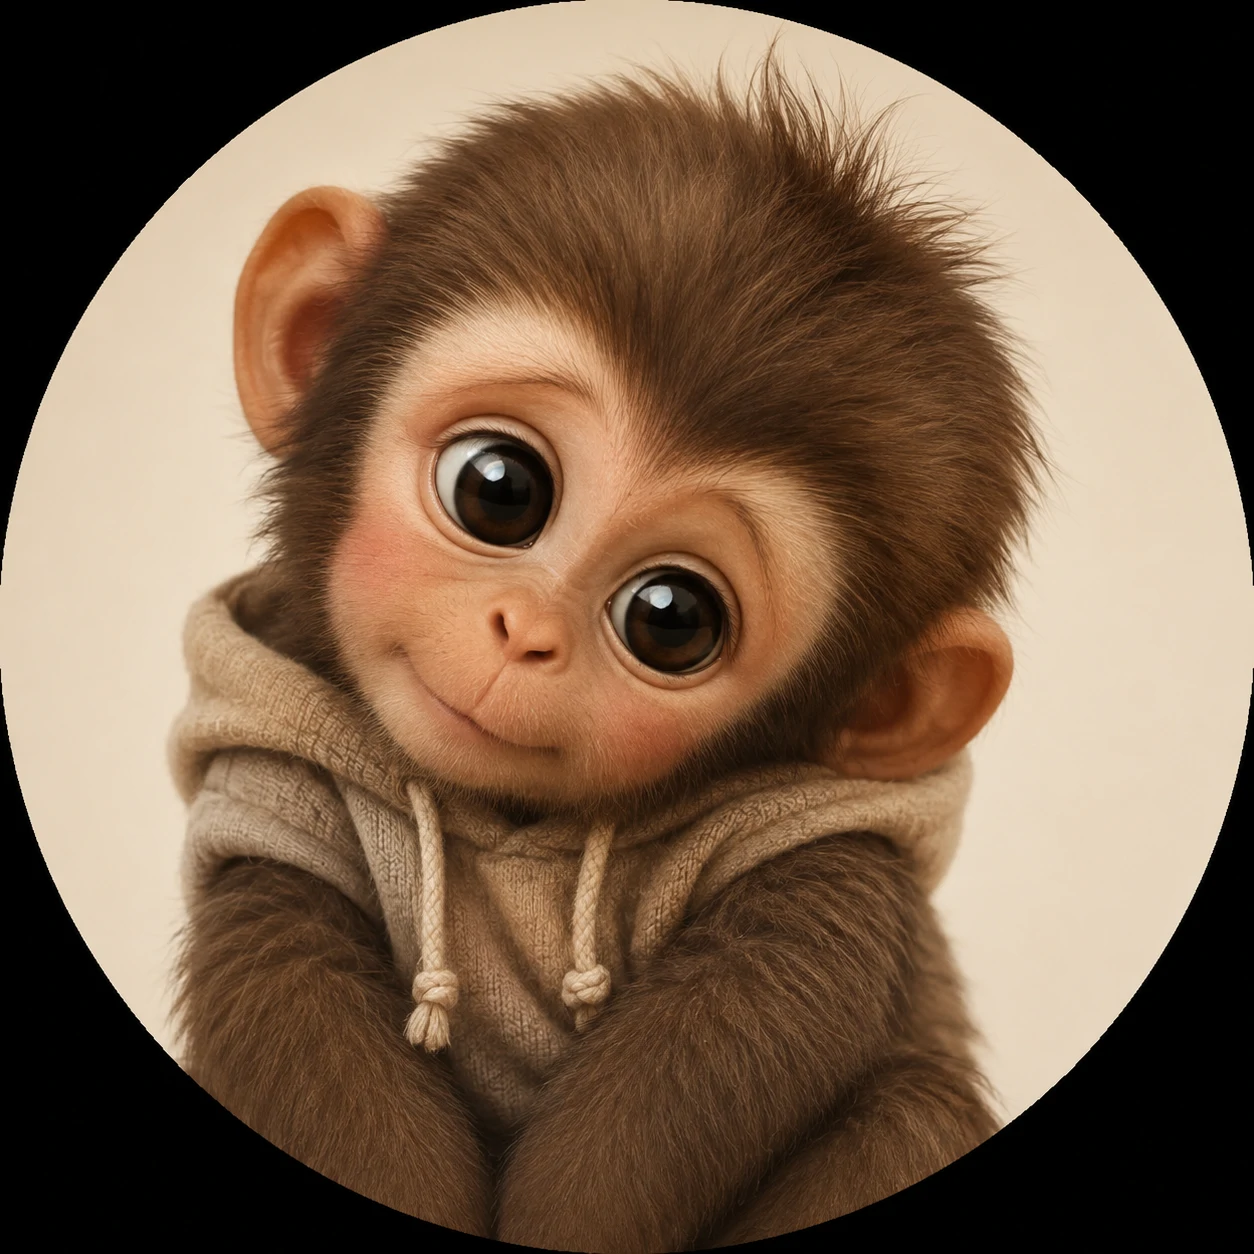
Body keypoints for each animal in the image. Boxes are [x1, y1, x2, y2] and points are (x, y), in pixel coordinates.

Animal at [170, 59, 1044, 1249]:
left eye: (671, 618)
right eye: (499, 489)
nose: (526, 635)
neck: (505, 828)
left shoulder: (821, 829)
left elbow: (763, 1010)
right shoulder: (270, 786)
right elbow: (293, 1002)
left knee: (915, 1113)